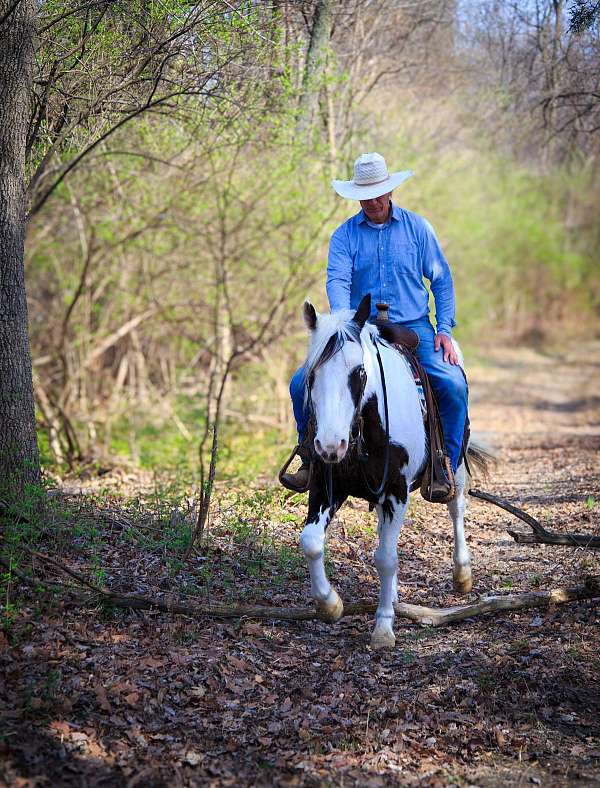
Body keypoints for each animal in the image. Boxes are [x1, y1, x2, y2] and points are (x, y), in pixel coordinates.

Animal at [298, 293, 489, 649]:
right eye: (311, 375)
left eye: (359, 372)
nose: (330, 444)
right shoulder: (326, 486)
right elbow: (311, 542)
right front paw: (330, 605)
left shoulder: (396, 491)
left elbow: (386, 558)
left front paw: (383, 628)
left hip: (454, 467)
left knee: (456, 508)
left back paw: (462, 575)